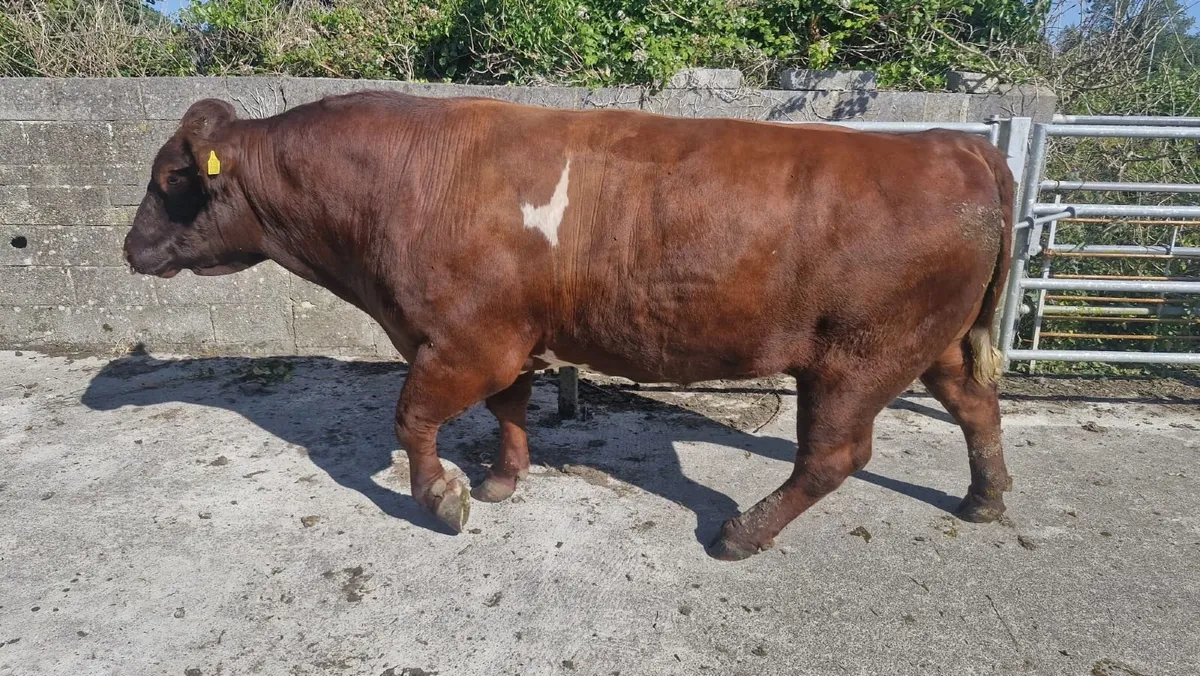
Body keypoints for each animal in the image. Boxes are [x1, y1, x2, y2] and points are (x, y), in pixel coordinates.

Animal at [124, 91, 1014, 561]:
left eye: (171, 178)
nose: (130, 247)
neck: (408, 179)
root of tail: (958, 145)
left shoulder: (462, 340)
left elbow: (413, 418)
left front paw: (442, 498)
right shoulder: (509, 340)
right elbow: (511, 411)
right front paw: (501, 480)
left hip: (857, 356)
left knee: (834, 454)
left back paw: (741, 532)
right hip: (930, 343)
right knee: (976, 406)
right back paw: (984, 497)